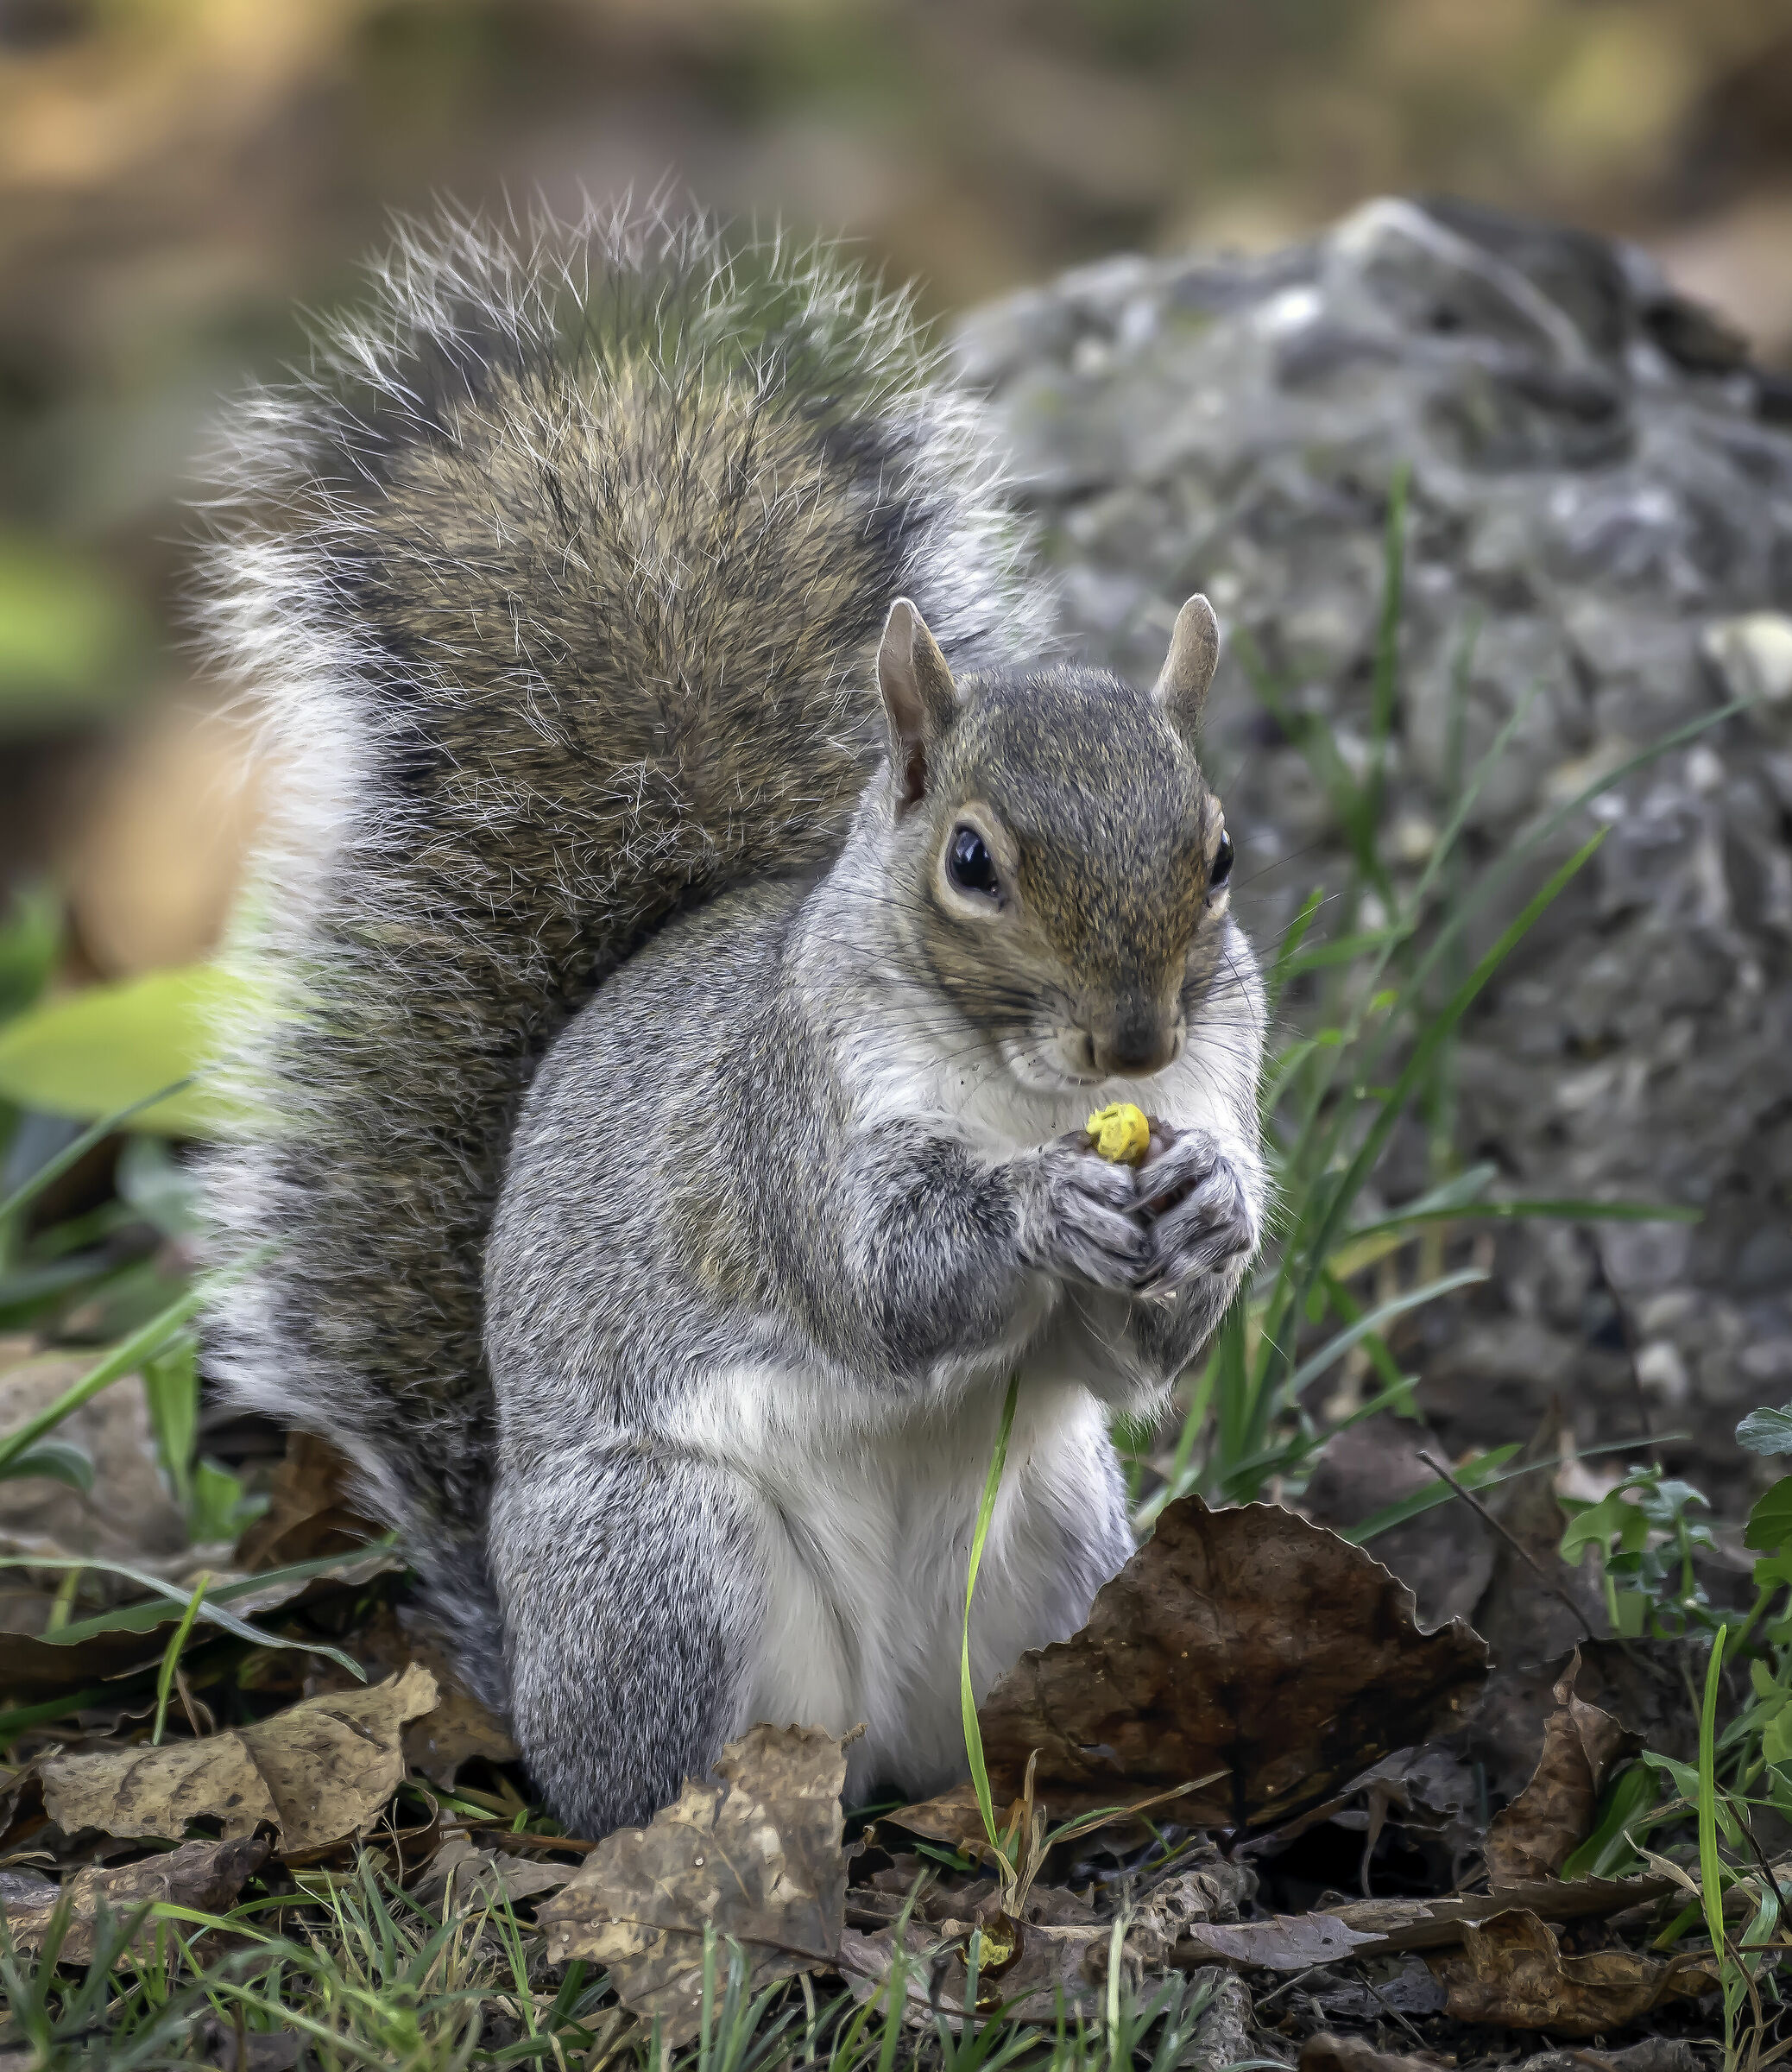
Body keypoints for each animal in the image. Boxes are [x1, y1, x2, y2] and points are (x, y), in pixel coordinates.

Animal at [197, 204, 1268, 1838]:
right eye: (971, 862)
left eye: (1216, 854)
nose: (1136, 1046)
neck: (1020, 1083)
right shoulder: (788, 1119)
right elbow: (881, 1280)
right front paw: (1038, 1203)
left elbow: (1130, 1357)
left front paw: (1207, 1204)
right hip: (665, 1561)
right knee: (649, 1776)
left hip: (1056, 1543)